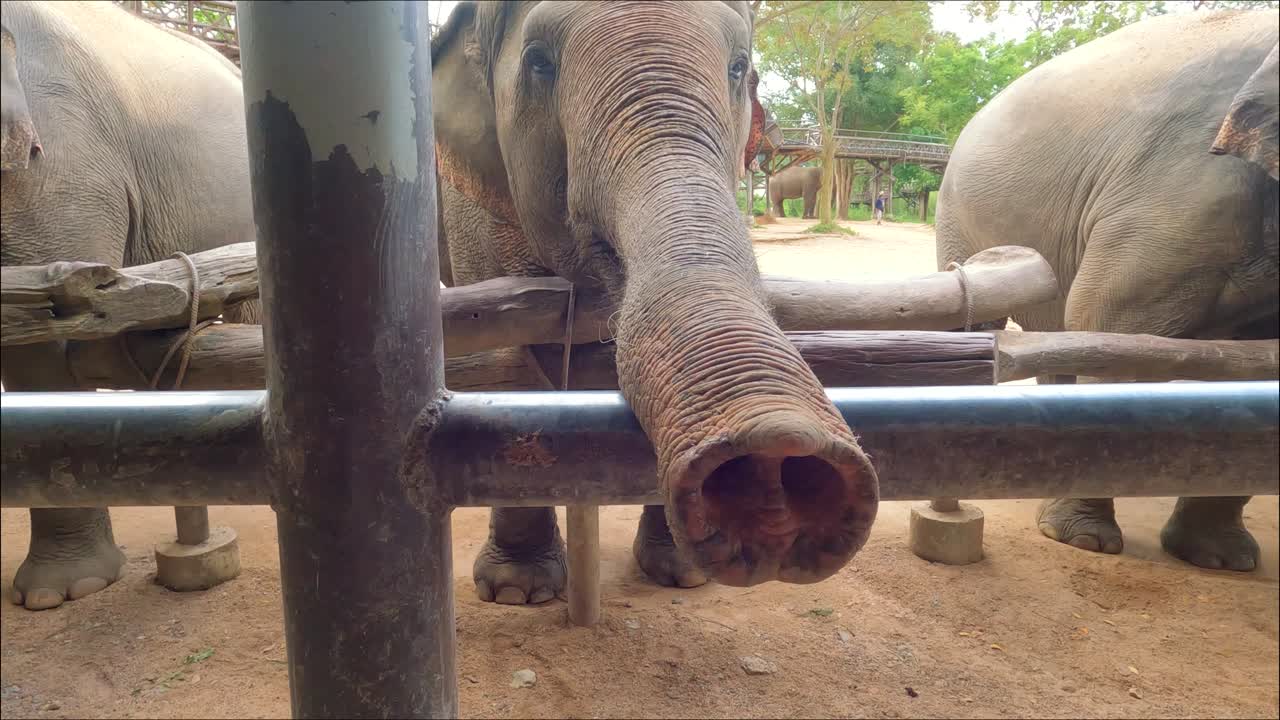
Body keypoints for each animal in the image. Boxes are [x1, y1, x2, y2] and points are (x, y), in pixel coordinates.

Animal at [432, 0, 879, 604]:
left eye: (738, 67)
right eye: (539, 63)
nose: (773, 452)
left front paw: (683, 575)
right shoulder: (472, 211)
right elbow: (512, 368)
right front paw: (517, 590)